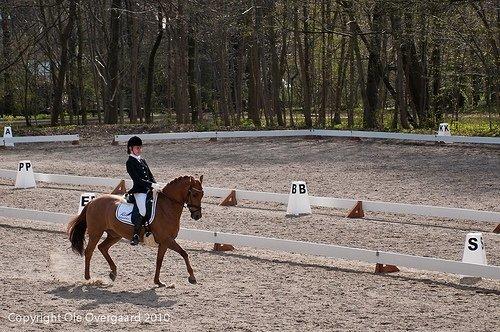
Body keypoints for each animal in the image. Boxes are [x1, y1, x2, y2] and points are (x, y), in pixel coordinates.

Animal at [66, 175, 203, 286]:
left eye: (202, 194)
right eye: (194, 194)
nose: (197, 216)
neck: (167, 207)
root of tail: (92, 201)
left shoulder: (164, 242)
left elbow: (159, 261)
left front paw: (158, 282)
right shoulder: (166, 239)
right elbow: (184, 253)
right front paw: (192, 277)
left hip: (115, 235)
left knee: (102, 247)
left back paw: (113, 273)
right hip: (96, 232)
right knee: (89, 251)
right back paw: (88, 277)